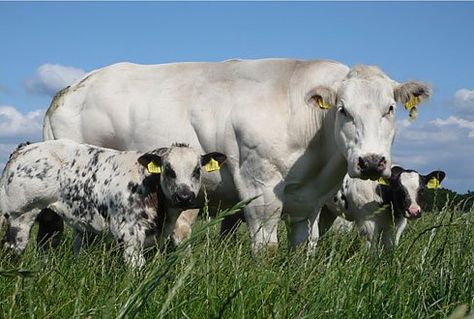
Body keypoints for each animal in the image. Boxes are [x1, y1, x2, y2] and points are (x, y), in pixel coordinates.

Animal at [0, 140, 226, 268]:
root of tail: (24, 149)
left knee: (46, 246)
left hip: (49, 218)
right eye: (169, 170)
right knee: (11, 250)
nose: (184, 196)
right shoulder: (129, 234)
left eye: (197, 170)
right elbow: (136, 269)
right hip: (19, 217)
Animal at [42, 59, 432, 255]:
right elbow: (266, 248)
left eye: (390, 108)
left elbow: (304, 247)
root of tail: (70, 88)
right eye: (343, 110)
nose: (371, 162)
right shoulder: (260, 189)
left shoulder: (309, 203)